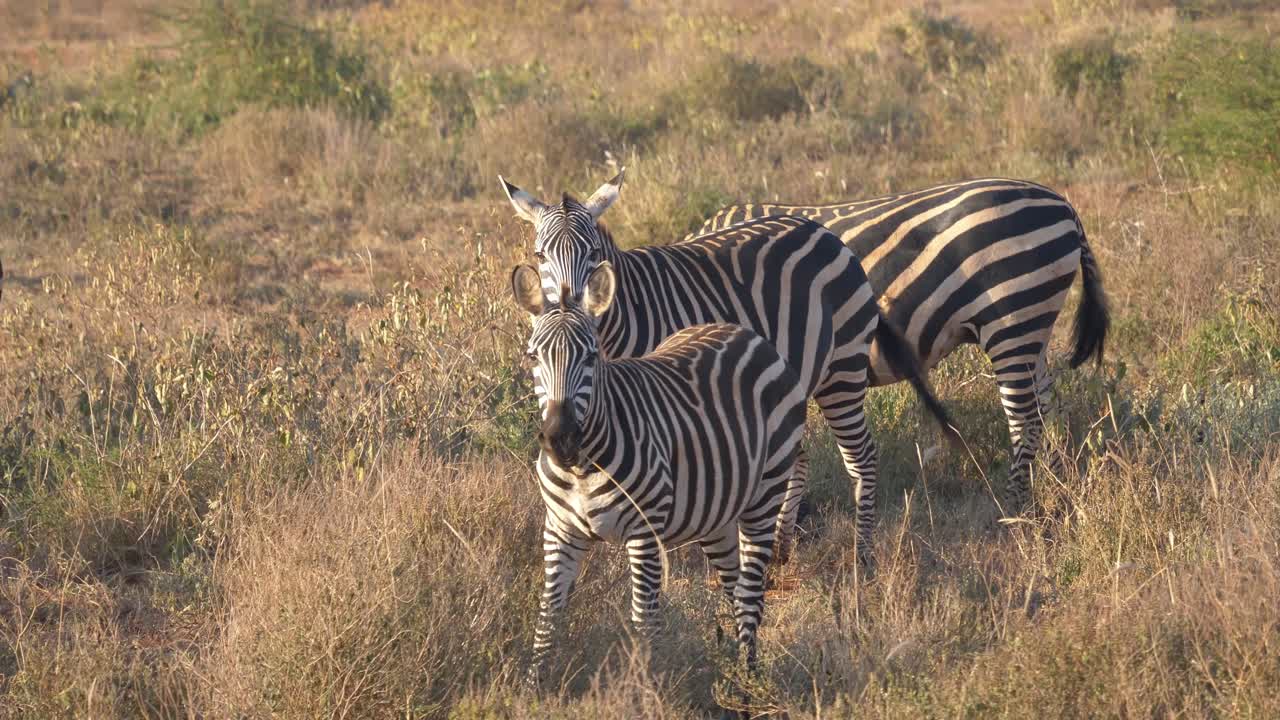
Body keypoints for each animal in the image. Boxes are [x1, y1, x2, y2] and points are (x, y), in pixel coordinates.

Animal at [500, 171, 957, 569]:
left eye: (593, 254)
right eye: (540, 255)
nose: (570, 307)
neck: (626, 314)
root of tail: (824, 232)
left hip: (841, 370)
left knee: (861, 457)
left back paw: (862, 557)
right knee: (797, 457)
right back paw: (781, 548)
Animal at [511, 261, 808, 683]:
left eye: (591, 357)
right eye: (533, 357)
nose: (559, 439)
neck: (583, 467)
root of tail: (745, 332)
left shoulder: (644, 534)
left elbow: (644, 620)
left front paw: (647, 683)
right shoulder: (560, 530)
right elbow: (549, 613)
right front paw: (534, 685)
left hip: (765, 492)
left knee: (751, 592)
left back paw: (748, 680)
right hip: (715, 513)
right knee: (736, 589)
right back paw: (736, 668)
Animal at [694, 177, 1110, 510]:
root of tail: (1062, 204)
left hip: (1010, 318)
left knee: (1025, 419)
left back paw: (1014, 508)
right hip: (1030, 328)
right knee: (1049, 408)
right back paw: (1058, 489)